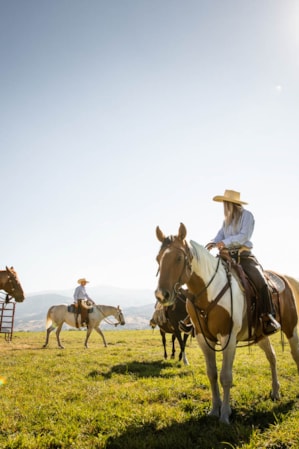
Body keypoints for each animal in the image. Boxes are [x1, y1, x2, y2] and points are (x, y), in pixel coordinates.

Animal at [155, 223, 299, 424]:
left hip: (291, 329)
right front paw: (214, 410)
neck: (210, 292)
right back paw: (276, 392)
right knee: (272, 356)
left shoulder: (228, 337)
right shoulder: (203, 338)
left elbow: (226, 377)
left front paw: (224, 415)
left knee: (295, 354)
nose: (162, 295)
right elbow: (212, 373)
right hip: (260, 334)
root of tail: (284, 278)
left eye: (178, 258)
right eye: (158, 259)